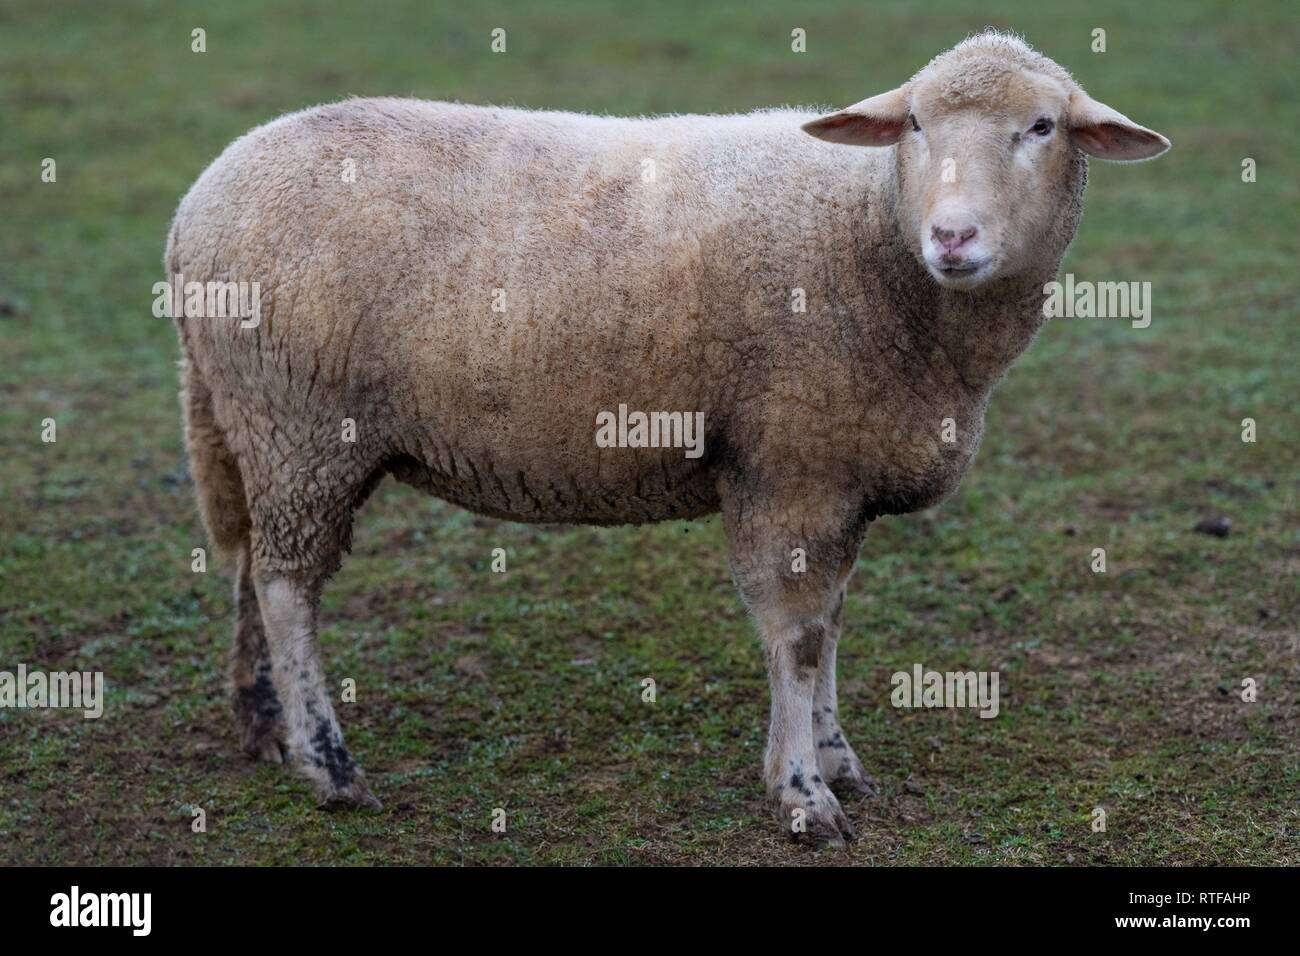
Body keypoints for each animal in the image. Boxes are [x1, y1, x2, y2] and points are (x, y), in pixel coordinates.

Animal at [165, 31, 1170, 842]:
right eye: (915, 124)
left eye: (1042, 127)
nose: (954, 238)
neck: (877, 235)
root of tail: (200, 202)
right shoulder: (789, 468)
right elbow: (797, 636)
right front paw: (802, 793)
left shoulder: (836, 472)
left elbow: (832, 624)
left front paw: (837, 758)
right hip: (299, 423)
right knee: (290, 588)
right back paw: (328, 766)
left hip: (262, 429)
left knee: (253, 565)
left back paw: (266, 729)